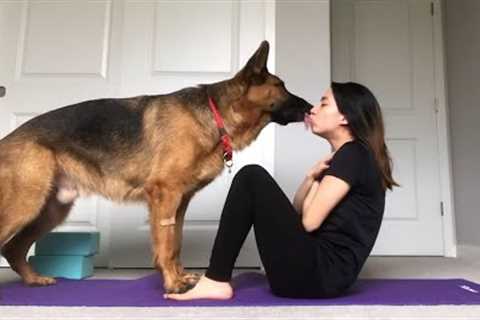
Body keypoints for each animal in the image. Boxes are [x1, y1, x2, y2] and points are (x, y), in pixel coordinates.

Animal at [0, 40, 314, 292]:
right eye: (281, 86)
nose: (311, 107)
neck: (215, 115)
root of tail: (8, 139)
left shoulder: (179, 202)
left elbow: (174, 243)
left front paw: (179, 277)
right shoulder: (165, 195)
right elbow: (165, 244)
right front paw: (173, 284)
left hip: (51, 210)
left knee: (13, 248)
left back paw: (34, 279)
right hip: (25, 205)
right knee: (9, 243)